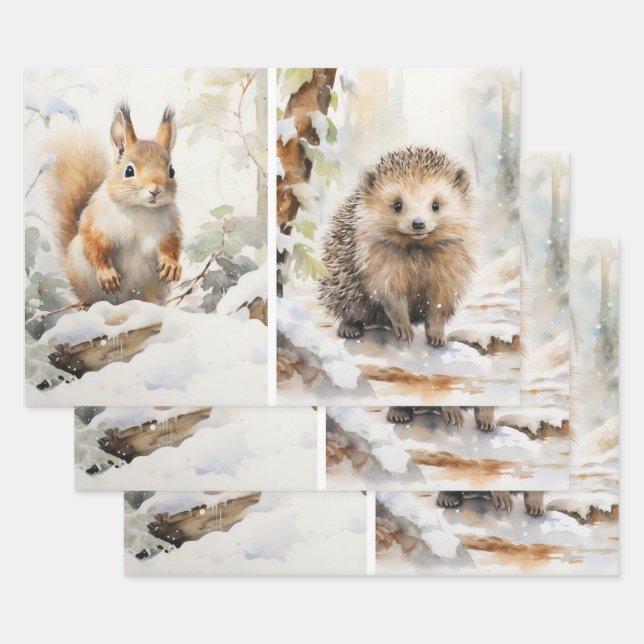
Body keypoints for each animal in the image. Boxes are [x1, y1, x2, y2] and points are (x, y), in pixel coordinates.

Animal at [44, 101, 183, 306]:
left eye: (171, 171)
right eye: (129, 171)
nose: (155, 190)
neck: (140, 210)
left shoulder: (169, 227)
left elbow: (171, 245)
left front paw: (171, 265)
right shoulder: (97, 222)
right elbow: (95, 245)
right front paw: (107, 274)